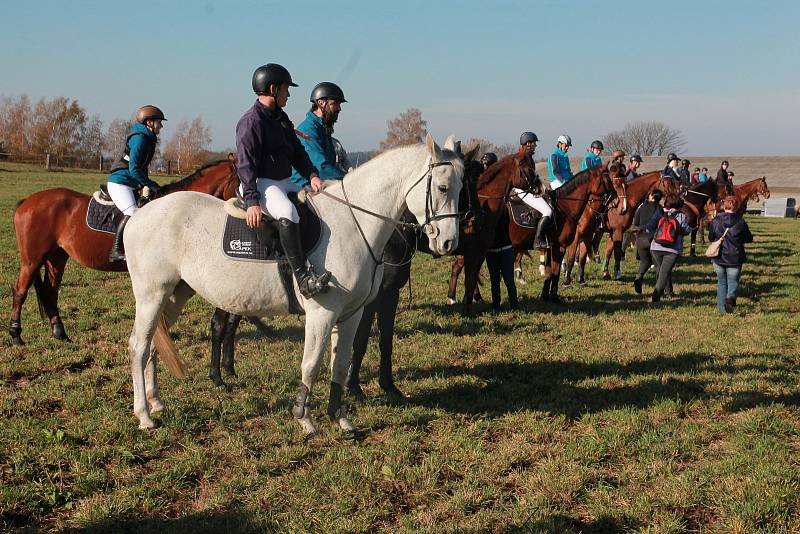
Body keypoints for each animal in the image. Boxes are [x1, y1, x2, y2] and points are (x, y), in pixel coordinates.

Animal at [10, 158, 241, 348]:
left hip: (57, 257)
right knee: (20, 291)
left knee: (50, 292)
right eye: (241, 185)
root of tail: (27, 201)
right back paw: (16, 335)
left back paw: (60, 333)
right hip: (32, 259)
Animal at [123, 135, 462, 436]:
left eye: (462, 188)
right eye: (443, 187)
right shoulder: (322, 314)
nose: (448, 243)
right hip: (152, 295)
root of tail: (140, 214)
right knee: (139, 345)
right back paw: (144, 416)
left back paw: (156, 402)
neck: (353, 224)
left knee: (153, 343)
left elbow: (340, 365)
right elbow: (311, 365)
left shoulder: (351, 315)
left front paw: (341, 419)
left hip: (175, 294)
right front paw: (305, 420)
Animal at [510, 163, 628, 306]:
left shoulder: (558, 244)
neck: (565, 207)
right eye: (609, 181)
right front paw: (556, 294)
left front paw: (545, 296)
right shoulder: (561, 246)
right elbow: (557, 271)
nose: (618, 204)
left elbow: (551, 272)